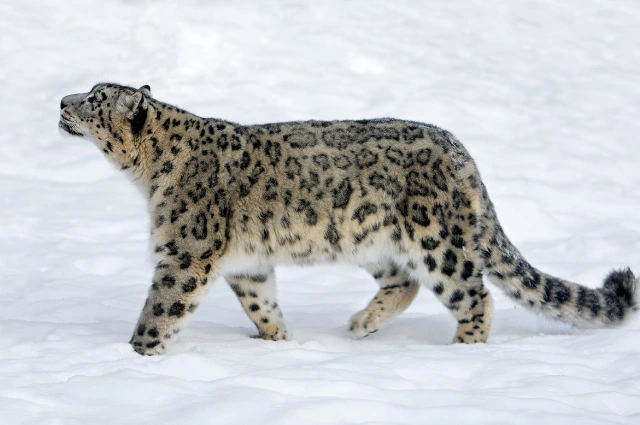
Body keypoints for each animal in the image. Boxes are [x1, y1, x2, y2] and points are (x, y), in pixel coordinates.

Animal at [57, 83, 636, 354]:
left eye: (96, 98)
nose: (63, 100)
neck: (148, 175)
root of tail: (460, 151)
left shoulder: (186, 251)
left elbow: (160, 308)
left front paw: (136, 355)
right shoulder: (246, 263)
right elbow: (260, 301)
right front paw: (276, 340)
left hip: (437, 239)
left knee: (474, 293)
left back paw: (462, 350)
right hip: (371, 239)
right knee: (403, 281)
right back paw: (361, 324)